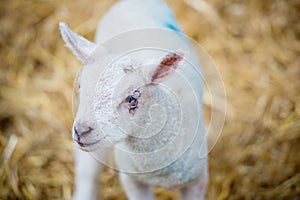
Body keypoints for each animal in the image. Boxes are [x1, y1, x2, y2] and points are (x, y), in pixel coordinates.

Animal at [59, 0, 207, 200]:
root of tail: (132, 1)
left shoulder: (197, 181)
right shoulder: (132, 181)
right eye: (80, 87)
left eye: (132, 99)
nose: (81, 131)